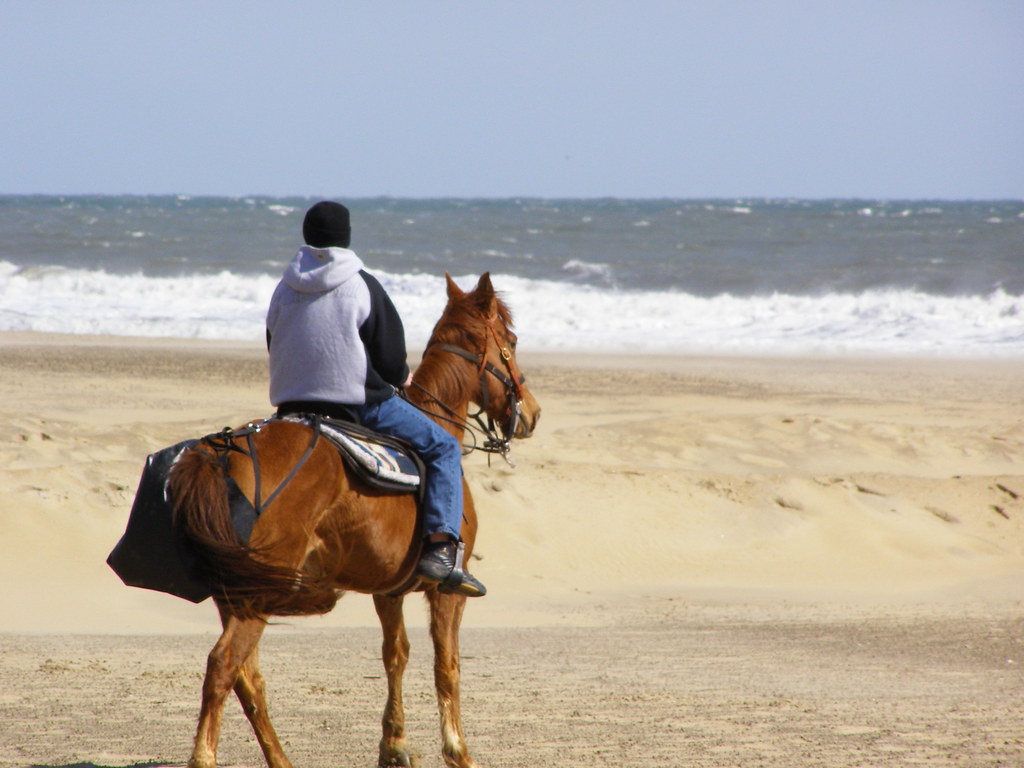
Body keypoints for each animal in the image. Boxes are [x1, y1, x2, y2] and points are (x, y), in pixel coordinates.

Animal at [168, 272, 541, 768]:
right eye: (512, 342)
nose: (533, 413)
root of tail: (221, 452)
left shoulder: (389, 589)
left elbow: (395, 655)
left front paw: (395, 744)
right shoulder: (448, 592)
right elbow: (447, 666)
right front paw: (457, 751)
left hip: (236, 595)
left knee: (248, 678)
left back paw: (281, 759)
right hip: (254, 595)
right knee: (224, 667)